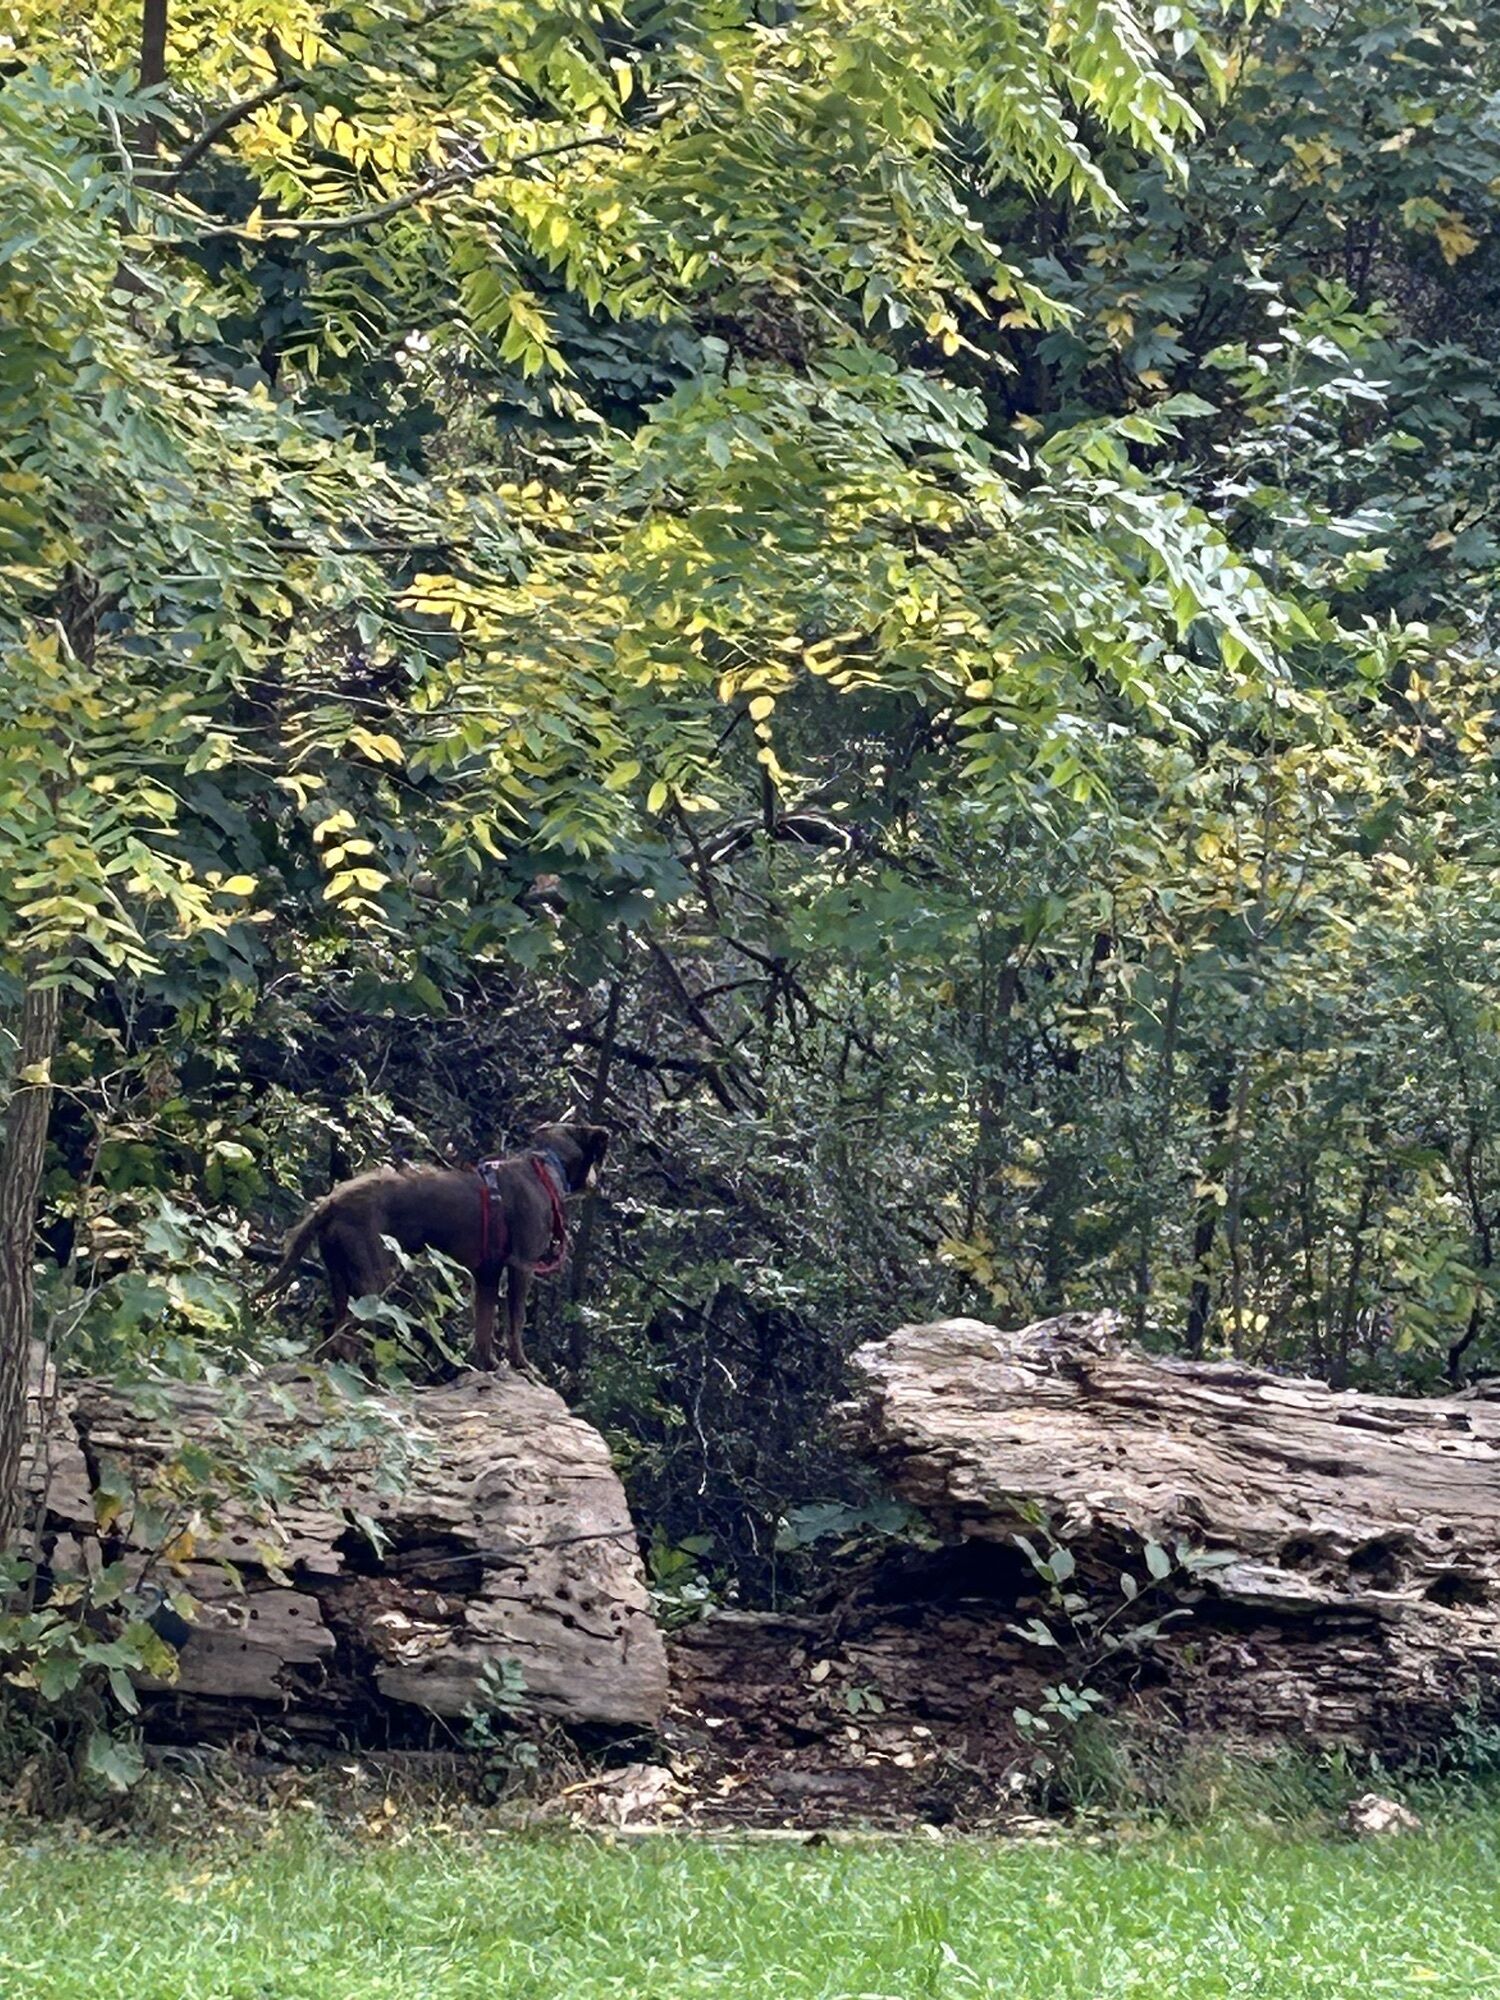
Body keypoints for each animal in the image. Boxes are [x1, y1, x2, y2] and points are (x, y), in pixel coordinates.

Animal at [262, 1122, 610, 1371]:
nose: (598, 1184)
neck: (544, 1167)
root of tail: (332, 1201)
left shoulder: (487, 1273)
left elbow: (483, 1327)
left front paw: (488, 1365)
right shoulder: (521, 1265)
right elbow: (516, 1321)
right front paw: (522, 1365)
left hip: (340, 1277)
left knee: (334, 1335)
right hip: (373, 1278)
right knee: (347, 1337)